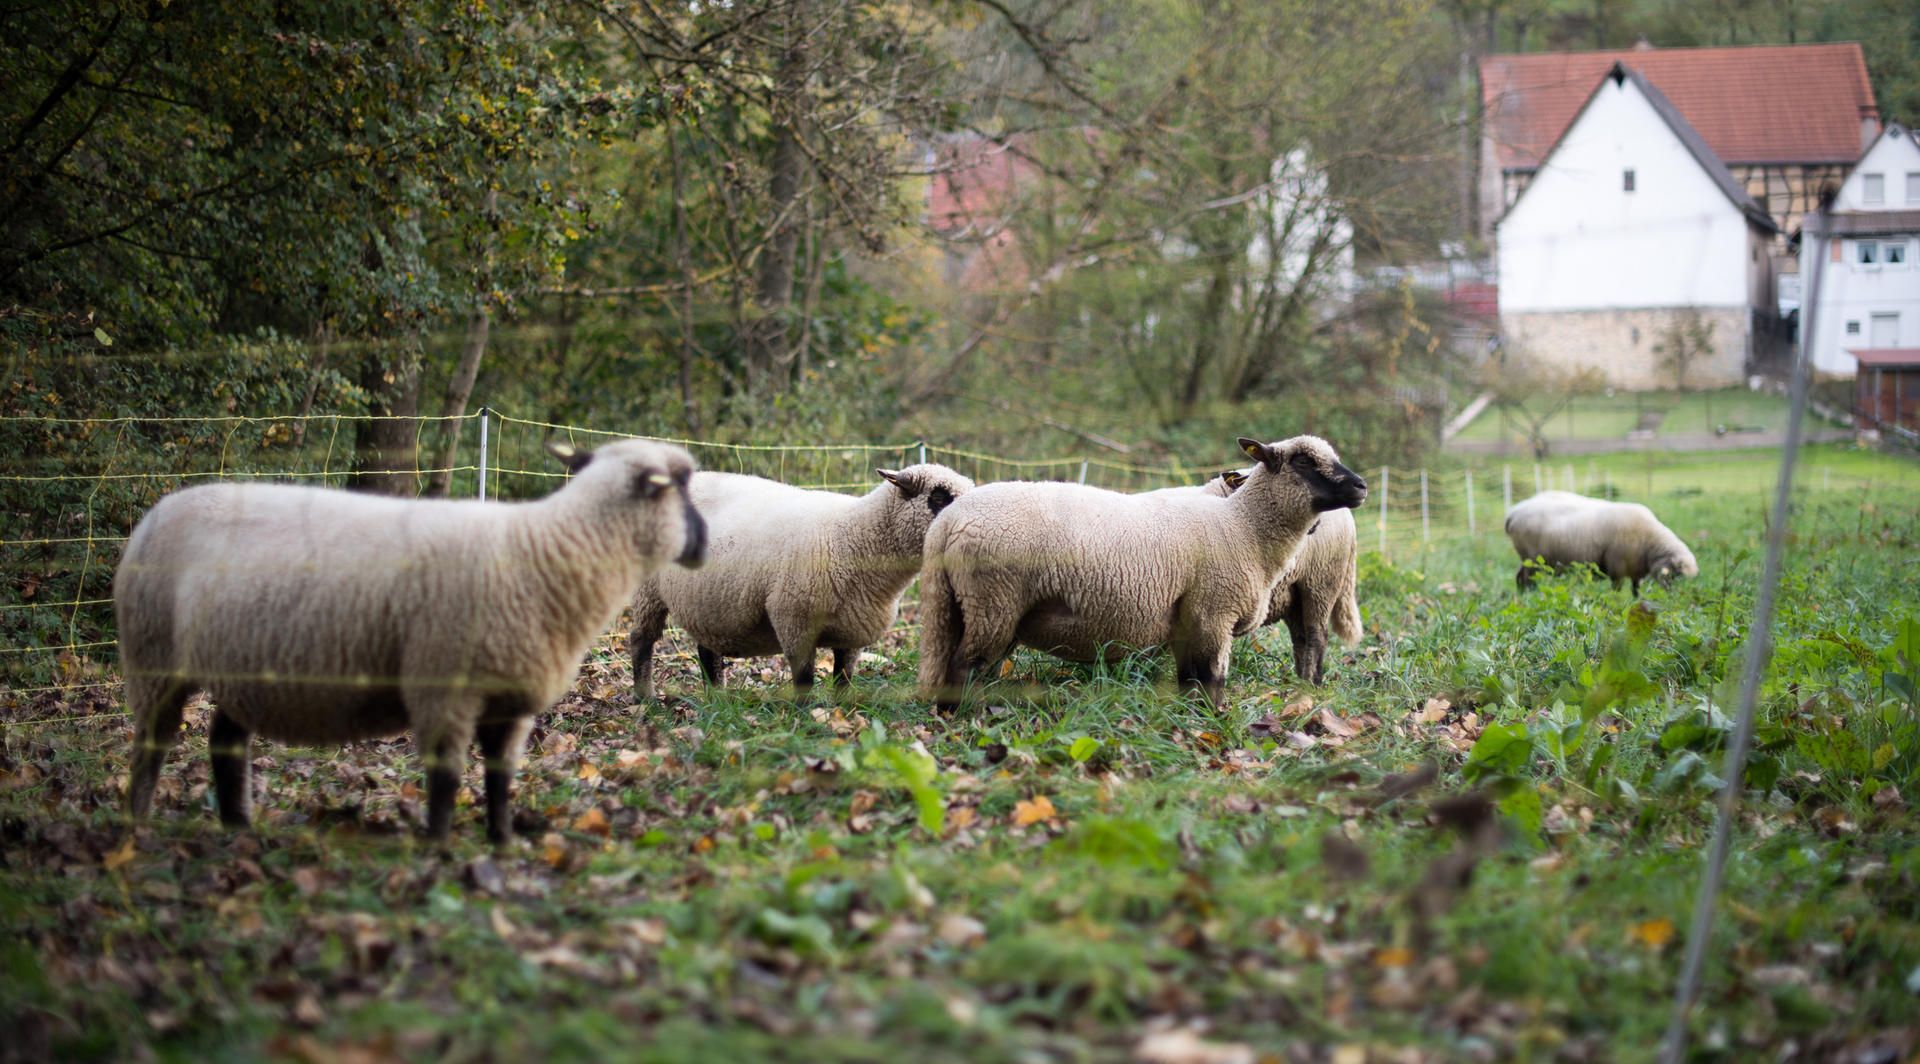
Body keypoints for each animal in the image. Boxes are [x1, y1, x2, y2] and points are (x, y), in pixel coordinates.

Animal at [117, 438, 707, 844]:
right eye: (680, 488)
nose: (703, 544)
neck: (544, 549)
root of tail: (156, 512)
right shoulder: (443, 685)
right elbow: (445, 776)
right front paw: (440, 845)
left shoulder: (511, 696)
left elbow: (500, 775)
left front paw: (501, 841)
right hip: (153, 659)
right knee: (152, 744)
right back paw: (137, 823)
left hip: (241, 664)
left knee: (225, 742)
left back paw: (239, 825)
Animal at [630, 463, 976, 700]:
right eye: (940, 497)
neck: (854, 537)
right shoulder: (794, 617)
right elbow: (804, 676)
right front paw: (806, 713)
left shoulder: (852, 628)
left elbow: (843, 675)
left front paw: (841, 709)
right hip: (648, 589)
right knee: (641, 641)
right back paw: (645, 697)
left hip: (709, 599)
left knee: (707, 652)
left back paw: (717, 697)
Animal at [917, 436, 1367, 710]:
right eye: (1303, 460)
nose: (1360, 486)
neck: (1244, 527)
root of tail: (946, 523)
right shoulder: (1213, 613)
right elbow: (1213, 680)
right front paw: (1215, 724)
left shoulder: (1190, 621)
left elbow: (1191, 679)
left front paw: (1192, 721)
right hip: (992, 600)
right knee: (964, 664)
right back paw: (965, 718)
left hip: (971, 605)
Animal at [1504, 490, 1698, 595]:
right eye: (1675, 575)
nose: (1675, 598)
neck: (1650, 543)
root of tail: (1514, 512)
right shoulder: (1617, 567)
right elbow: (1617, 589)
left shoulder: (1635, 570)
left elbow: (1635, 590)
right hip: (1532, 559)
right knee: (1527, 579)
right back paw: (1529, 594)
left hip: (1527, 558)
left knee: (1519, 577)